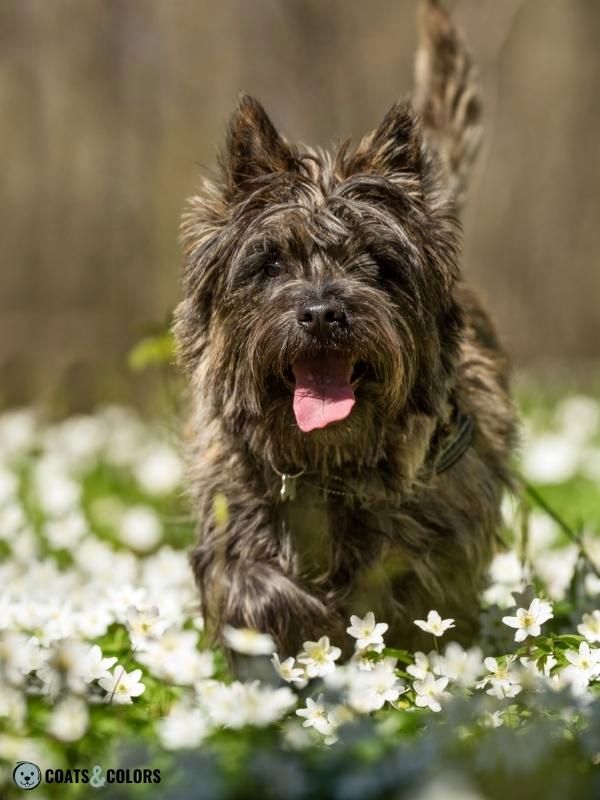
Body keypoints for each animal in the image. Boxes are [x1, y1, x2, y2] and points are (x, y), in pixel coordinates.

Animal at [173, 0, 516, 660]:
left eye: (378, 264)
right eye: (270, 263)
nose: (321, 313)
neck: (324, 462)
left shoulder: (440, 538)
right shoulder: (234, 513)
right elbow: (251, 583)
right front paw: (312, 630)